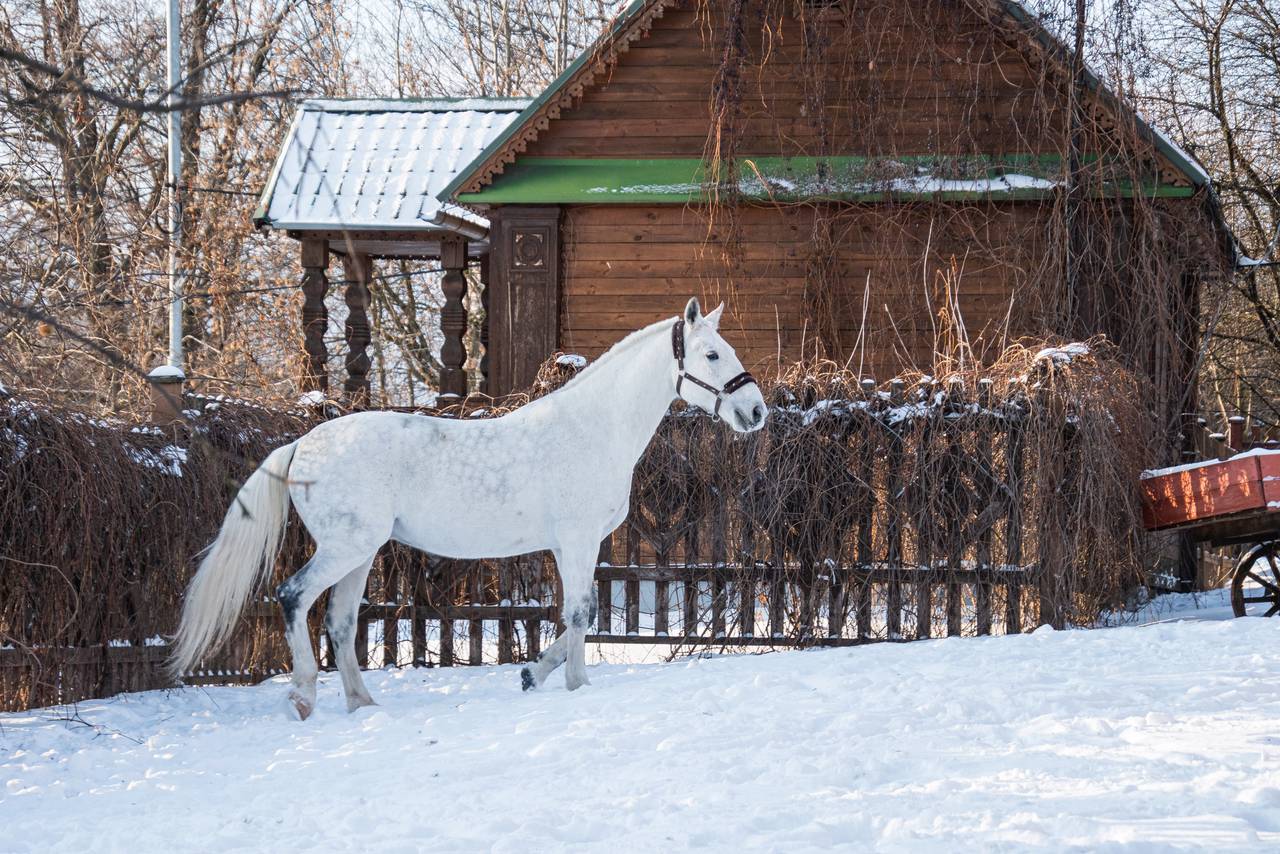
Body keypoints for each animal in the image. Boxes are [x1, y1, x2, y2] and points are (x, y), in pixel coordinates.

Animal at [165, 297, 762, 717]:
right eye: (712, 354)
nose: (755, 411)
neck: (591, 429)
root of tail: (301, 445)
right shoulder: (576, 540)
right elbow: (579, 612)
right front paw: (576, 684)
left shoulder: (577, 544)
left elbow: (580, 614)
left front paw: (532, 674)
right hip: (344, 549)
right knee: (293, 597)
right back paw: (304, 697)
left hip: (359, 552)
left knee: (338, 620)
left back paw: (363, 704)